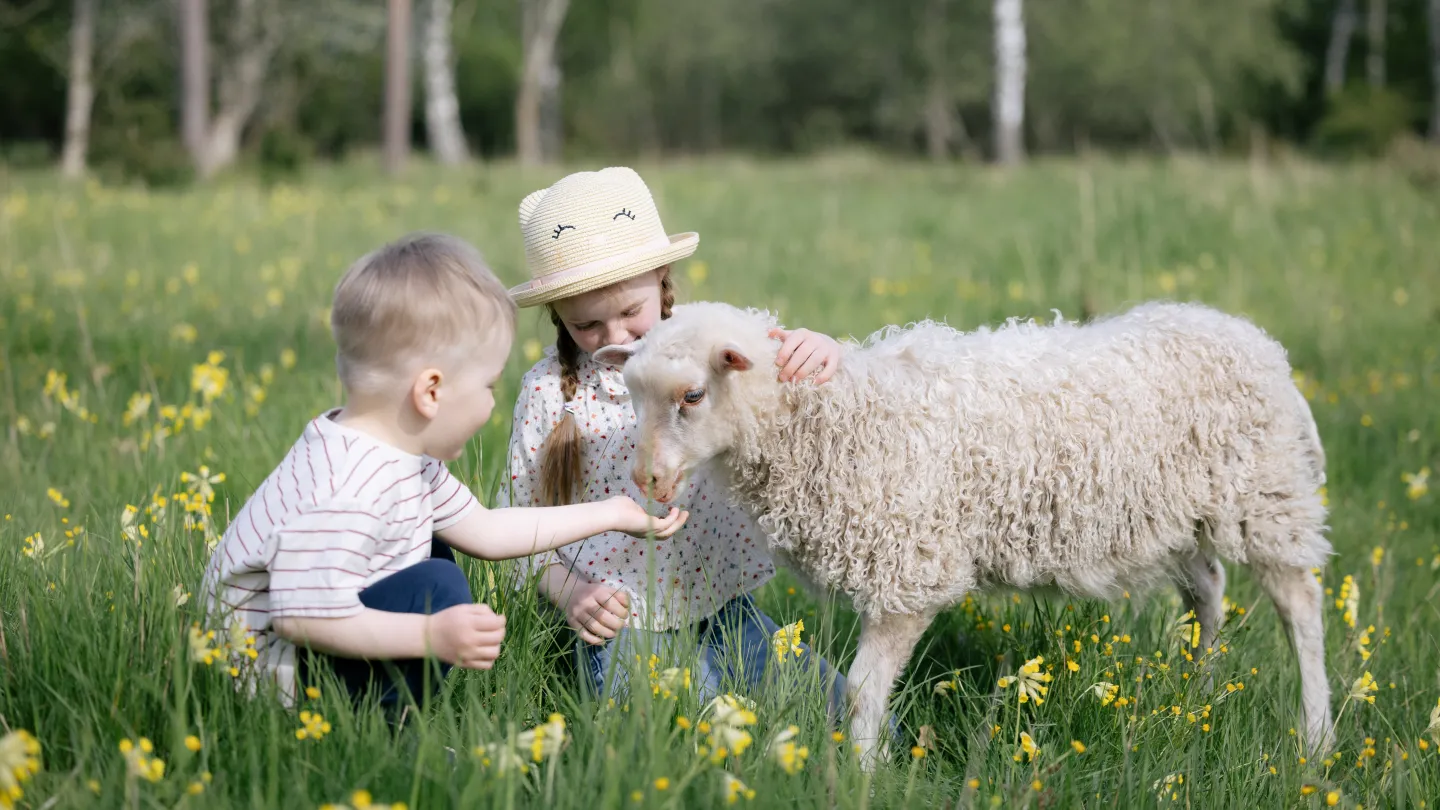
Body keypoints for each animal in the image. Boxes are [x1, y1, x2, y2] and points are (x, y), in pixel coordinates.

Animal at [590, 299, 1330, 766]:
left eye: (692, 396)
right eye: (631, 393)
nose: (648, 479)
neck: (829, 421)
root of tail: (1254, 340)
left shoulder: (906, 571)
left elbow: (861, 691)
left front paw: (862, 774)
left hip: (1268, 497)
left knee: (1300, 606)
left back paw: (1315, 735)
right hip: (1177, 516)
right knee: (1208, 590)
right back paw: (1197, 692)